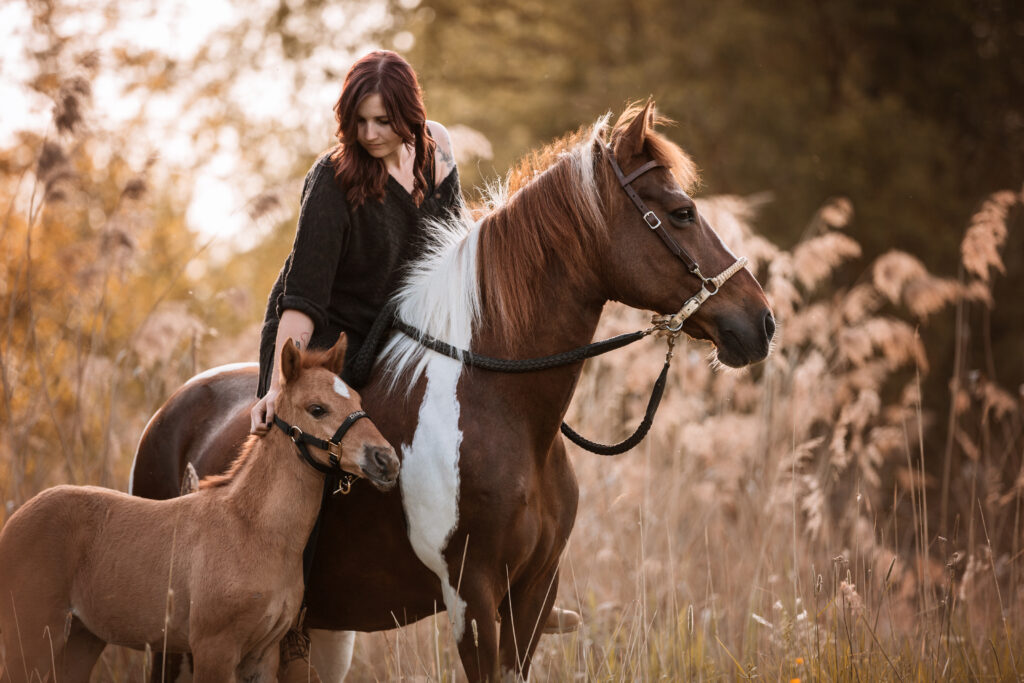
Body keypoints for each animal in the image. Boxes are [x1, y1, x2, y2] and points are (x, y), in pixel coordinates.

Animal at [0, 335, 397, 683]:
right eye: (317, 408)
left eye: (359, 399)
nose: (387, 460)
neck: (252, 530)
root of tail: (14, 522)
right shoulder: (213, 649)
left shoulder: (262, 654)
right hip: (30, 637)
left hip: (83, 637)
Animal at [125, 102, 770, 683]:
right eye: (682, 213)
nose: (760, 323)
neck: (503, 410)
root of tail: (172, 410)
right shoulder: (471, 594)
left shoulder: (534, 592)